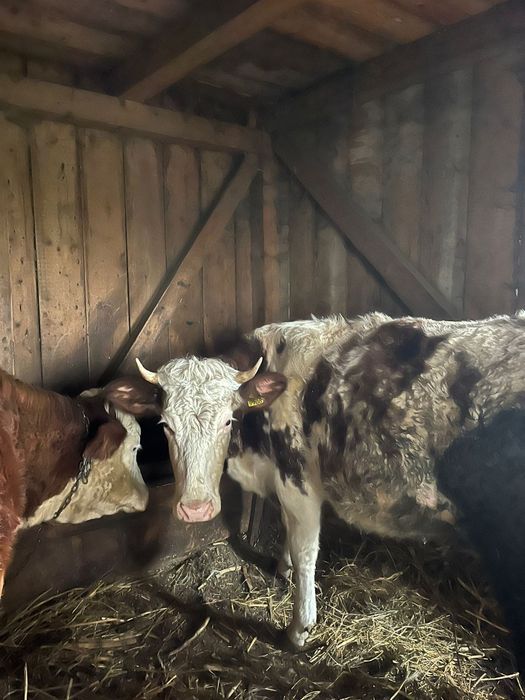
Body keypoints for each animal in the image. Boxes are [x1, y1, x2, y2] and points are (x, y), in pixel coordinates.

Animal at [104, 312, 525, 653]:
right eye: (166, 425)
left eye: (227, 419)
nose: (195, 509)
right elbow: (287, 533)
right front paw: (282, 567)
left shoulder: (297, 480)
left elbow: (306, 550)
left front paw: (298, 629)